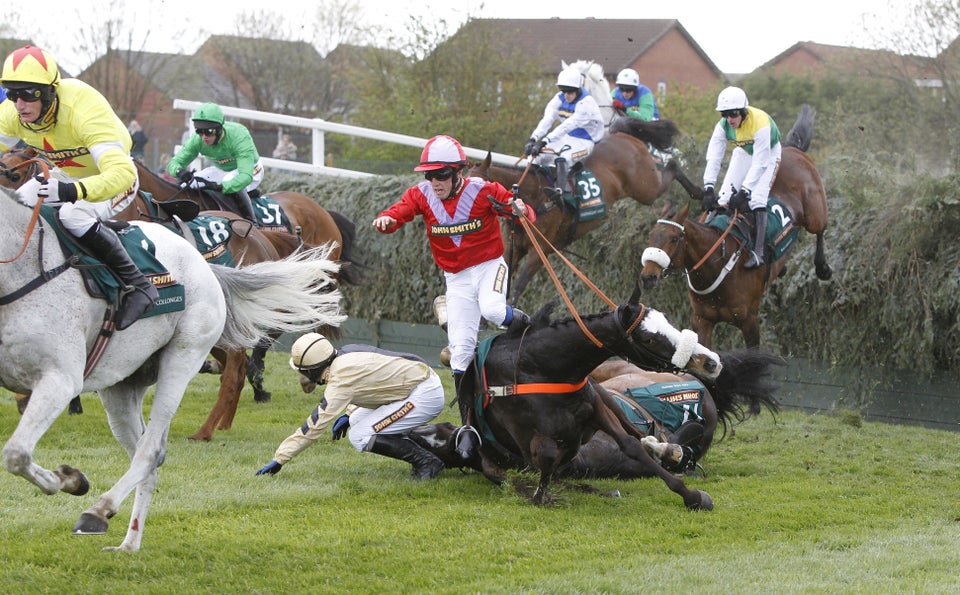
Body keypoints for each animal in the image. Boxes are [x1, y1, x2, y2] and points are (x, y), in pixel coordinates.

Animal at [0, 185, 344, 551]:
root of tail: (204, 264)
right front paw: (71, 478)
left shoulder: (61, 379)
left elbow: (16, 454)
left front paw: (72, 479)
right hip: (121, 385)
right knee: (146, 456)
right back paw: (128, 544)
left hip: (181, 359)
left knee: (152, 450)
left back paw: (100, 510)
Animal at [451, 298, 723, 509]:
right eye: (649, 339)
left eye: (667, 321)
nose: (710, 362)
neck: (539, 367)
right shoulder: (524, 438)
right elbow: (545, 460)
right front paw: (542, 494)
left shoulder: (597, 411)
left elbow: (631, 444)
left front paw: (692, 496)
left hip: (606, 396)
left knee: (642, 434)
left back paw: (665, 449)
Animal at [467, 117, 700, 306]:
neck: (531, 196)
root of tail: (621, 134)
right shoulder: (515, 246)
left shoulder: (539, 249)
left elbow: (517, 288)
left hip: (646, 188)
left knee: (672, 165)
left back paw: (701, 193)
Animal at [638, 105, 833, 348]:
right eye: (650, 237)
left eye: (674, 239)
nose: (648, 276)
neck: (717, 264)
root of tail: (792, 148)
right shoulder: (702, 320)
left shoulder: (750, 322)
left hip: (813, 209)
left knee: (819, 229)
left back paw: (823, 267)